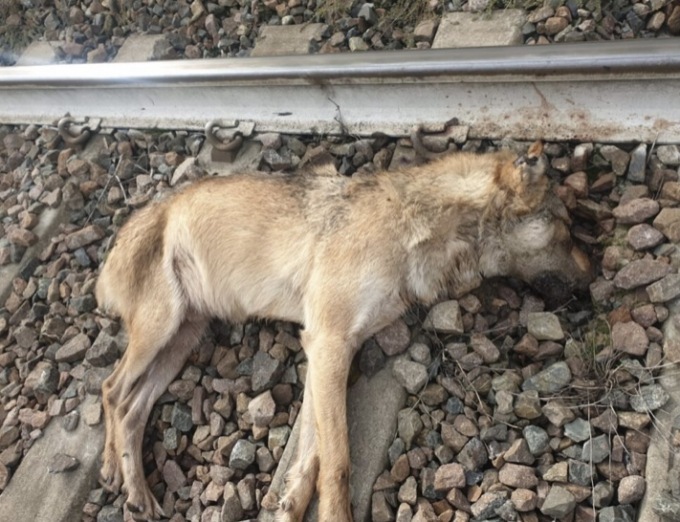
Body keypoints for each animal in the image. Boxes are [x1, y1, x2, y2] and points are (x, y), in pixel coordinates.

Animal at [95, 137, 592, 521]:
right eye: (566, 228)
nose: (592, 285)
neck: (421, 220)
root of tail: (129, 228)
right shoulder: (328, 343)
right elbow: (337, 463)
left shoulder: (332, 352)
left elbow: (311, 457)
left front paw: (288, 505)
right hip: (161, 329)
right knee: (113, 389)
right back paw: (123, 481)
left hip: (183, 340)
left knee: (131, 405)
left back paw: (131, 485)